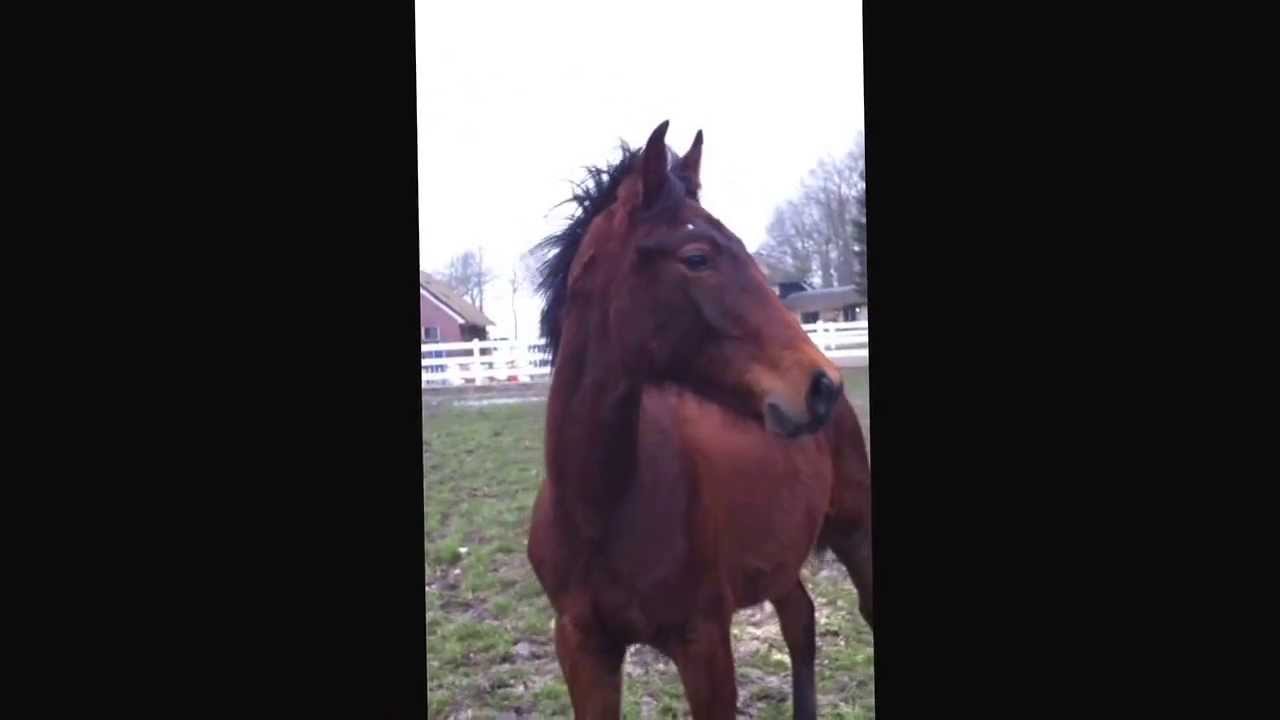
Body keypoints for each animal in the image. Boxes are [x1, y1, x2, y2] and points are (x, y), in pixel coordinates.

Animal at [526, 121, 872, 719]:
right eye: (696, 258)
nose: (821, 386)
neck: (600, 507)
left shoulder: (704, 643)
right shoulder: (582, 646)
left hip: (858, 535)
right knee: (800, 621)